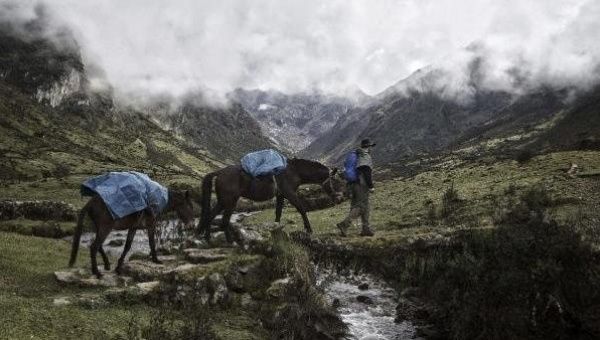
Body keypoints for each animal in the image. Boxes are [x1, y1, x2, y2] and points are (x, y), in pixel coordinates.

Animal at [200, 158, 344, 243]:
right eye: (335, 180)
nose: (339, 198)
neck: (293, 171)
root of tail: (219, 172)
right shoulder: (289, 194)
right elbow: (301, 208)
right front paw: (308, 229)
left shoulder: (280, 196)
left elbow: (278, 213)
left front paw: (276, 231)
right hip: (230, 201)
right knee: (223, 221)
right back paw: (229, 242)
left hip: (222, 201)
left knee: (210, 216)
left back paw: (207, 239)